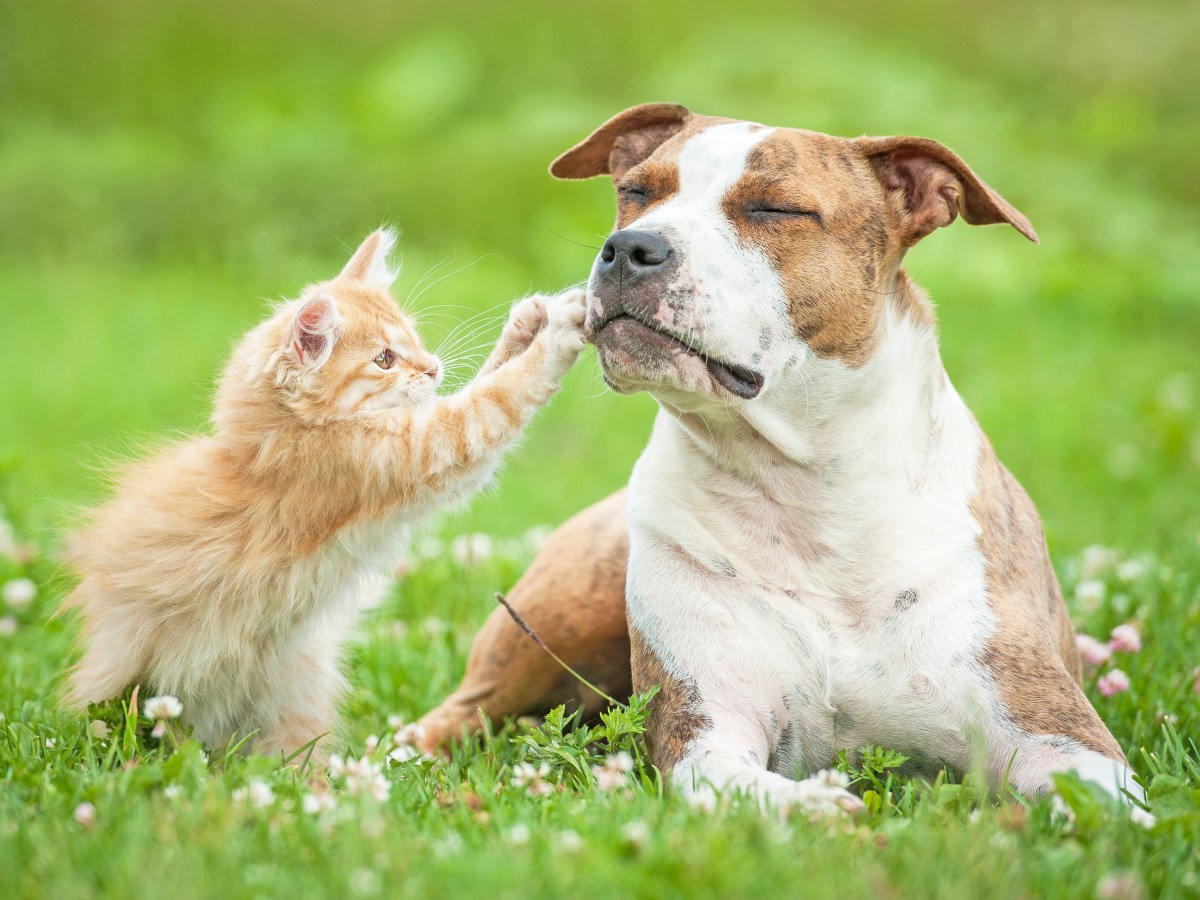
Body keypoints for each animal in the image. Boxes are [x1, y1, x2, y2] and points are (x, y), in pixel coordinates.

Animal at [62, 229, 585, 758]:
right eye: (384, 359)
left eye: (414, 341)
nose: (434, 368)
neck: (284, 436)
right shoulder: (421, 449)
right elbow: (498, 397)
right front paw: (559, 334)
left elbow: (490, 377)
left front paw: (527, 325)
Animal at [417, 103, 1147, 816]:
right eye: (637, 193)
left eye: (774, 209)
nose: (630, 247)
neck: (804, 492)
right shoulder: (707, 730)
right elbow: (750, 790)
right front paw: (826, 810)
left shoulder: (1058, 738)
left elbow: (1122, 813)